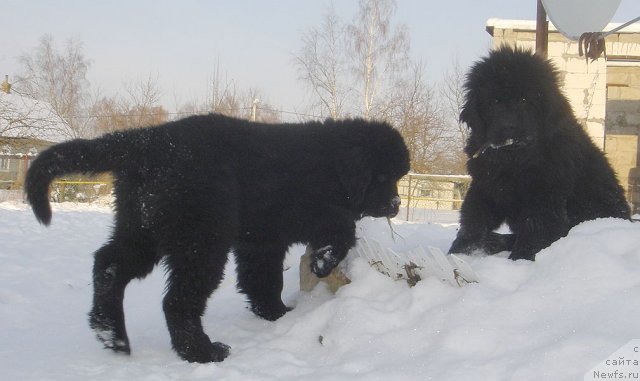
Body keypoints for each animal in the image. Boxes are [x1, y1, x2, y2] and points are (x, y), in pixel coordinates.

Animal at [450, 46, 632, 262]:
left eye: (524, 100)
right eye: (494, 101)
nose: (508, 127)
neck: (514, 160)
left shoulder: (544, 196)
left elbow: (535, 229)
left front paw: (520, 261)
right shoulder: (486, 186)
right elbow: (474, 217)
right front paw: (462, 251)